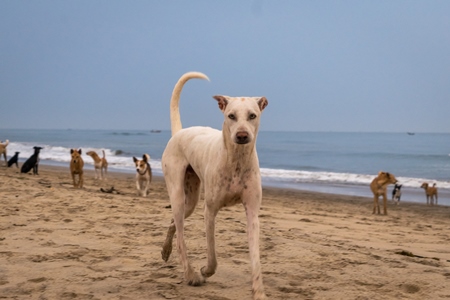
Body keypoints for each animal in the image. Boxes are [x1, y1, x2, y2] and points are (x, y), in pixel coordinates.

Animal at [161, 71, 268, 298]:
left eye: (252, 115)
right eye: (231, 116)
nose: (242, 136)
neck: (236, 161)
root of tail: (179, 132)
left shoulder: (252, 213)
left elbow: (255, 258)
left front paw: (259, 292)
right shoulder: (209, 211)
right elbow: (212, 254)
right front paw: (205, 271)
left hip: (190, 199)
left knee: (173, 223)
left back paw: (165, 251)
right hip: (177, 193)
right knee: (181, 238)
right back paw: (191, 275)